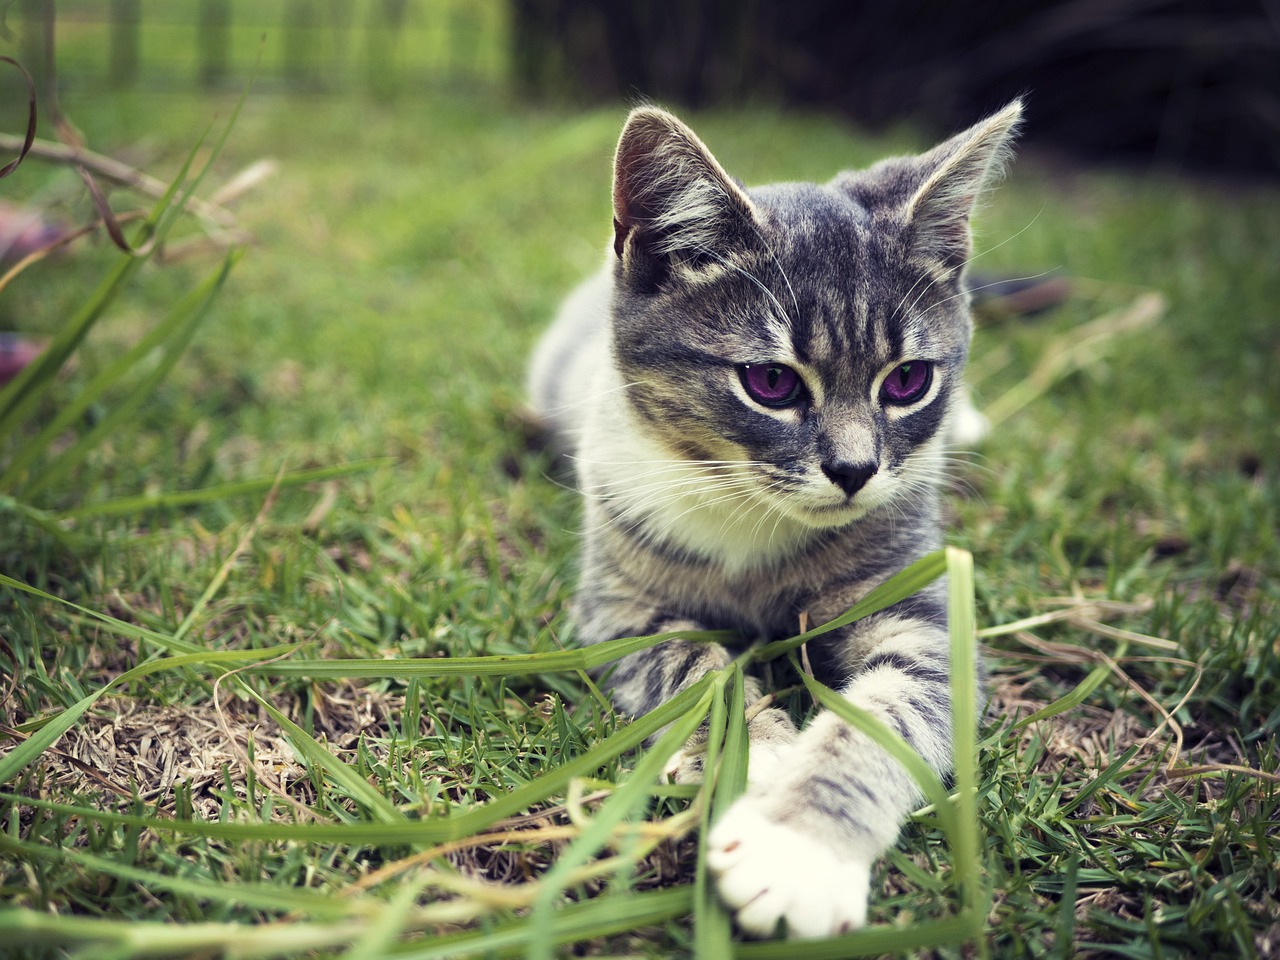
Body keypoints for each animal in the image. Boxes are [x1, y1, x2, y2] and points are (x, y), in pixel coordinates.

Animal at [527, 103, 1018, 942]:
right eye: (771, 383)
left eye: (909, 381)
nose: (854, 470)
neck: (758, 519)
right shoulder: (619, 606)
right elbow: (698, 672)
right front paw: (760, 757)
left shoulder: (922, 603)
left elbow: (895, 708)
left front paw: (798, 847)